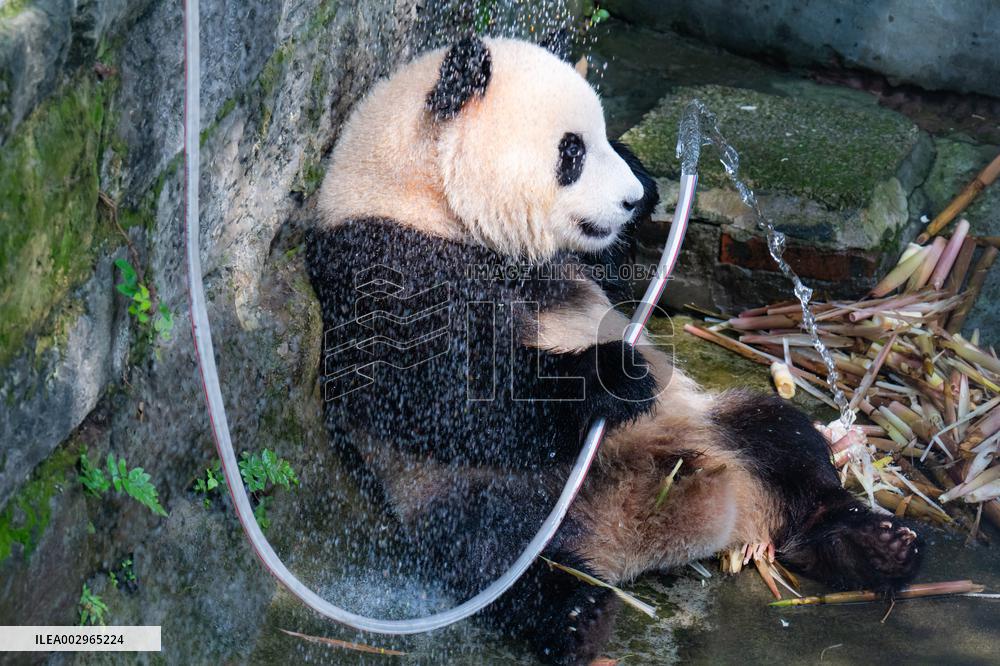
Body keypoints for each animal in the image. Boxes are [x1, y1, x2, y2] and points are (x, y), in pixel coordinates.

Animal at [305, 35, 922, 665]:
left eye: (603, 137)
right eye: (571, 152)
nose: (628, 200)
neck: (426, 199)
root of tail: (633, 543)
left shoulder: (576, 264)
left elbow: (618, 283)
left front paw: (647, 182)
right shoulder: (381, 260)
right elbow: (430, 395)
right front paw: (609, 377)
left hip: (710, 422)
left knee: (785, 440)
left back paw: (878, 545)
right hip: (470, 492)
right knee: (488, 550)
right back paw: (578, 614)